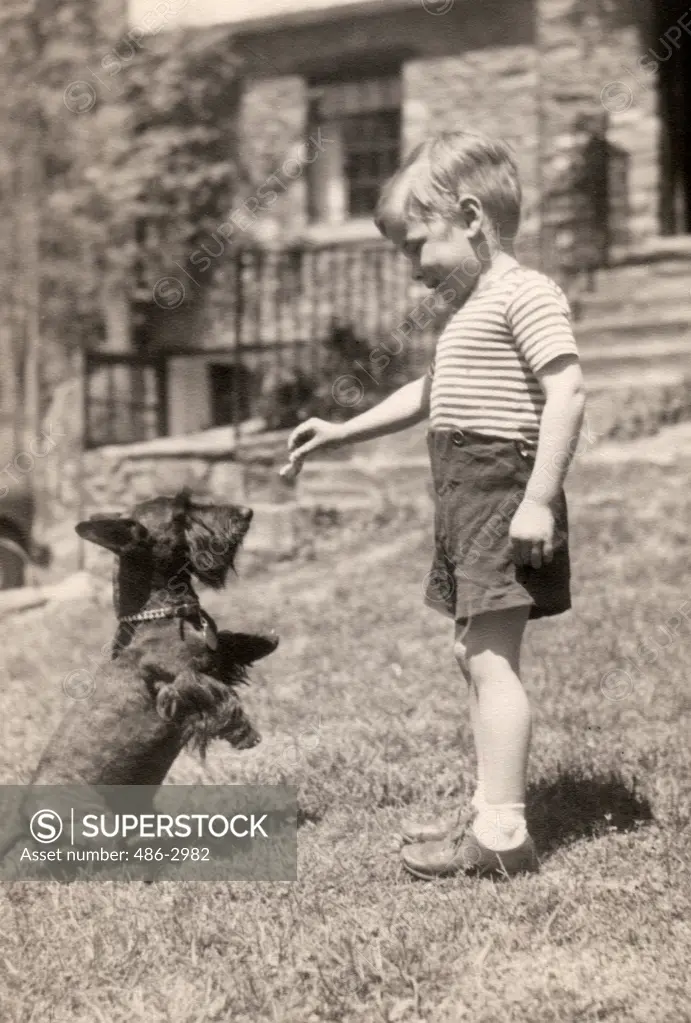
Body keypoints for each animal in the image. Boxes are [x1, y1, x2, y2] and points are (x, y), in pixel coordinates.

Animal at [0, 486, 276, 871]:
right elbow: (219, 695)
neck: (155, 613)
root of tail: (22, 816)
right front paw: (244, 732)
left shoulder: (212, 653)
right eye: (180, 514)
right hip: (96, 825)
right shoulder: (183, 682)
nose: (246, 512)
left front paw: (266, 642)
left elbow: (229, 645)